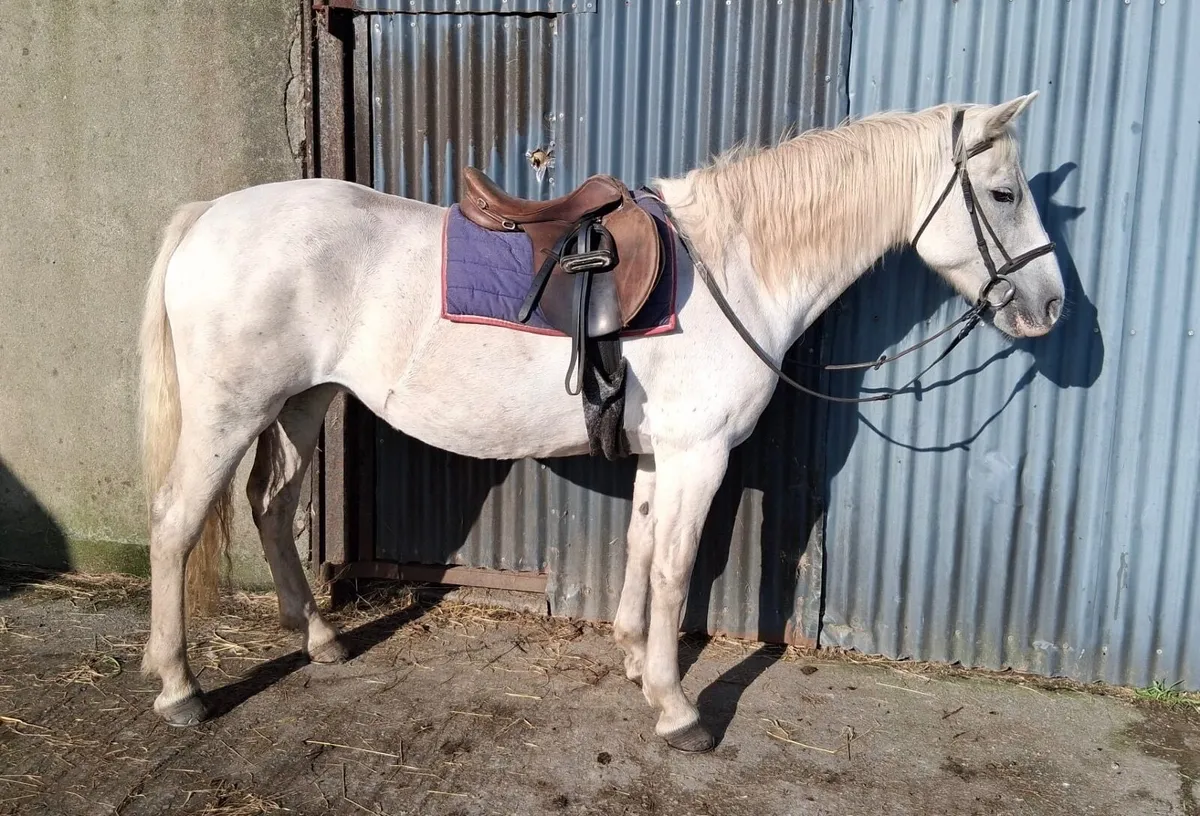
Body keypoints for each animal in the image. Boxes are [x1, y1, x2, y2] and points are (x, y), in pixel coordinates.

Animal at [137, 94, 1064, 753]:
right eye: (1003, 193)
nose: (1050, 306)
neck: (737, 266)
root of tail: (207, 215)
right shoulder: (699, 457)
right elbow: (677, 572)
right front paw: (679, 710)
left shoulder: (664, 457)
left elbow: (642, 550)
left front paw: (632, 661)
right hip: (232, 413)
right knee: (177, 523)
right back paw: (180, 688)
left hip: (302, 403)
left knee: (271, 507)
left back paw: (320, 638)